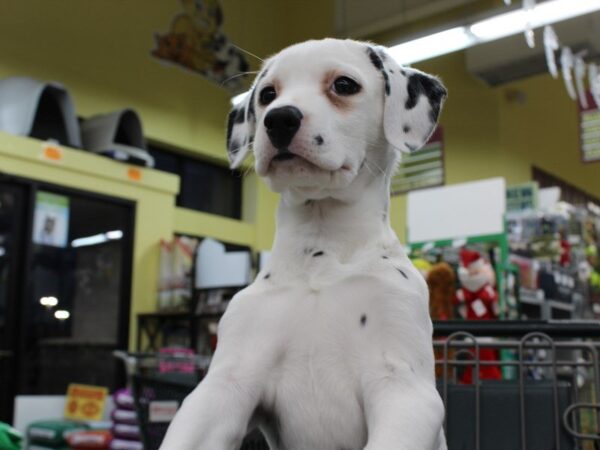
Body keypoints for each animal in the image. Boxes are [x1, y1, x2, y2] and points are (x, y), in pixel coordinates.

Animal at [162, 38, 448, 450]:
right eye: (267, 94)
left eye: (344, 85)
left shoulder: (404, 388)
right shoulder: (224, 385)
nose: (279, 119)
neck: (321, 252)